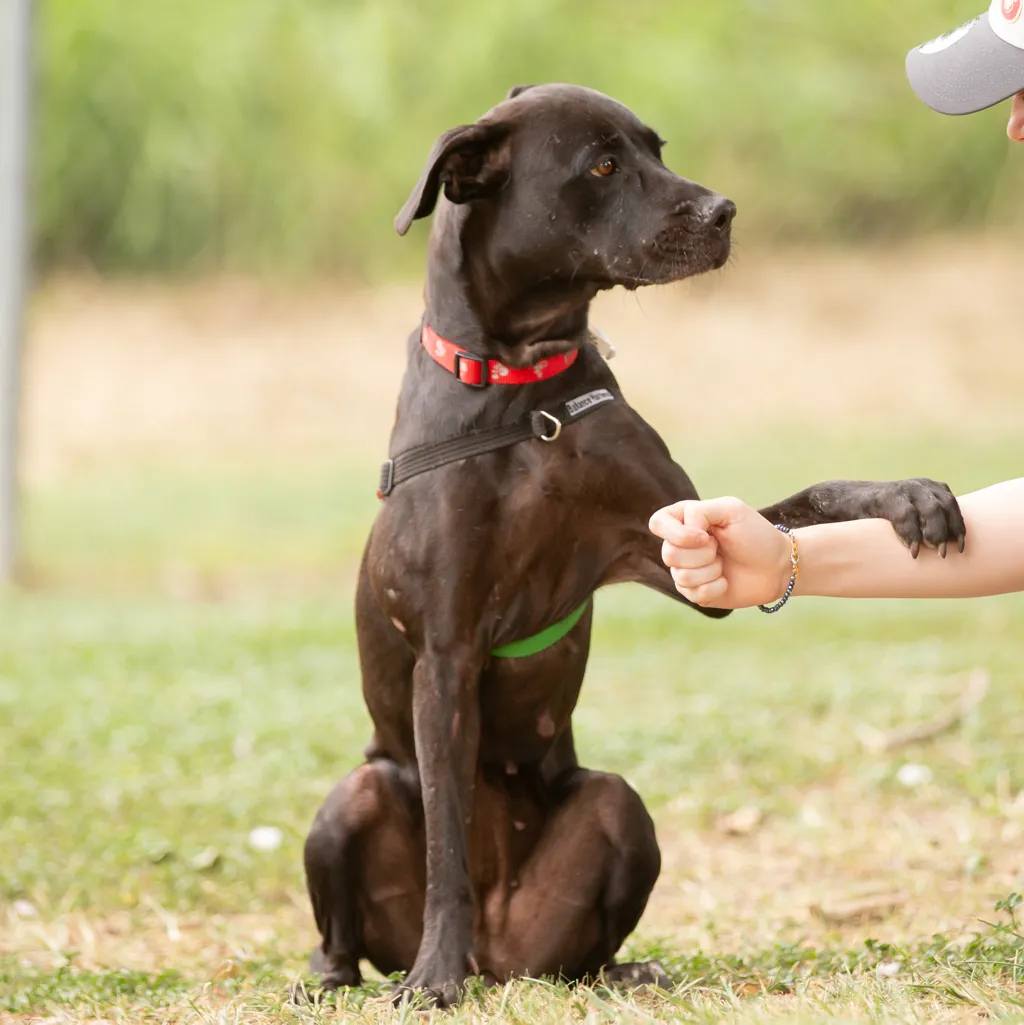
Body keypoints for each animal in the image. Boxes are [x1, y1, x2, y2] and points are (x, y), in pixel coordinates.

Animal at [299, 84, 963, 1004]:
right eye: (604, 165)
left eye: (657, 148)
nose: (725, 211)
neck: (526, 394)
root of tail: (500, 956)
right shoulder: (446, 652)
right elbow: (447, 845)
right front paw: (432, 978)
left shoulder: (684, 551)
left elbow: (815, 500)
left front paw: (910, 496)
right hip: (348, 801)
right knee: (347, 923)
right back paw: (352, 974)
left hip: (619, 808)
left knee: (584, 951)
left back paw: (620, 969)